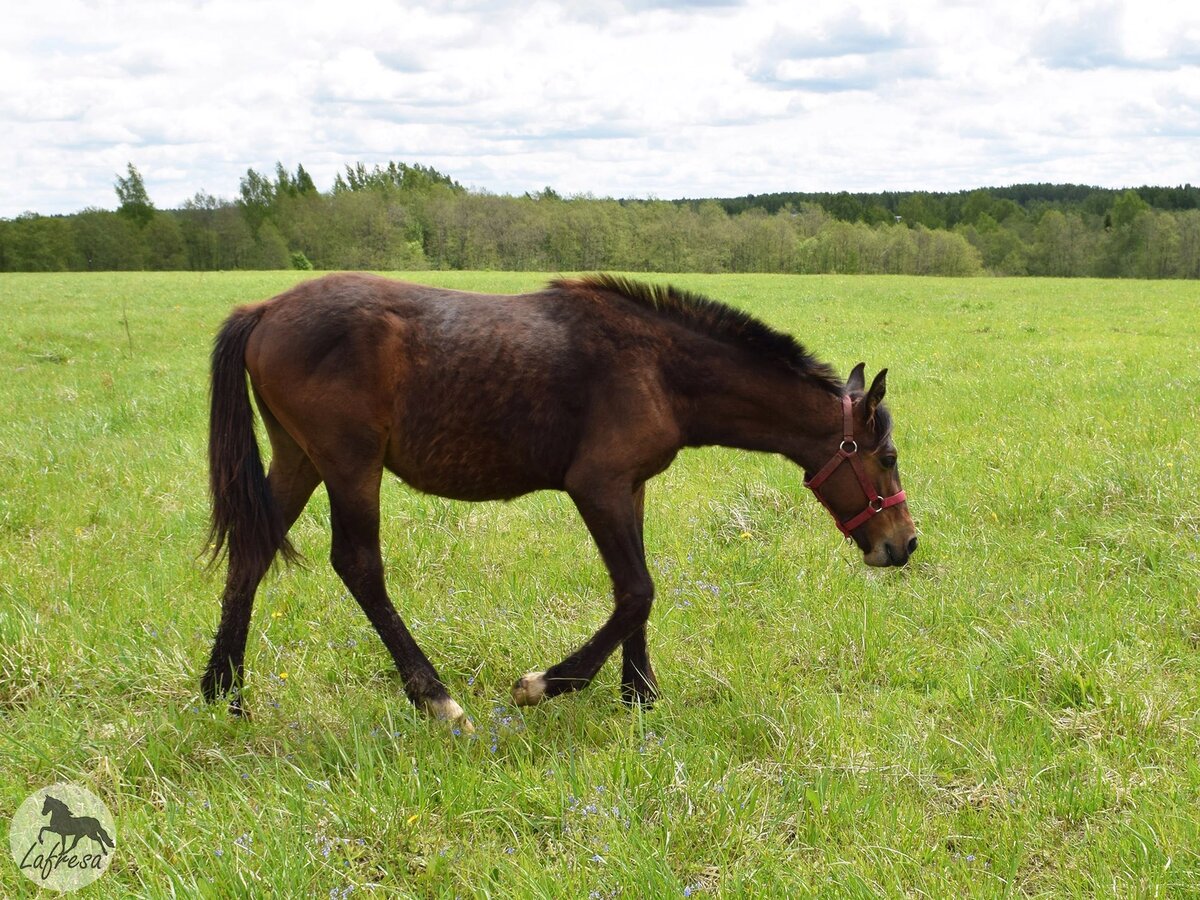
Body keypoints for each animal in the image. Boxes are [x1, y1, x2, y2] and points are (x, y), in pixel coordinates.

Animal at [204, 274, 916, 734]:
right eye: (886, 456)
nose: (904, 543)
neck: (661, 370)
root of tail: (264, 309)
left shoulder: (632, 486)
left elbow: (638, 594)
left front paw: (640, 696)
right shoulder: (597, 486)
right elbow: (637, 591)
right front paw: (548, 685)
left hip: (298, 459)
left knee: (251, 554)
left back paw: (224, 694)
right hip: (350, 465)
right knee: (358, 566)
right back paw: (435, 698)